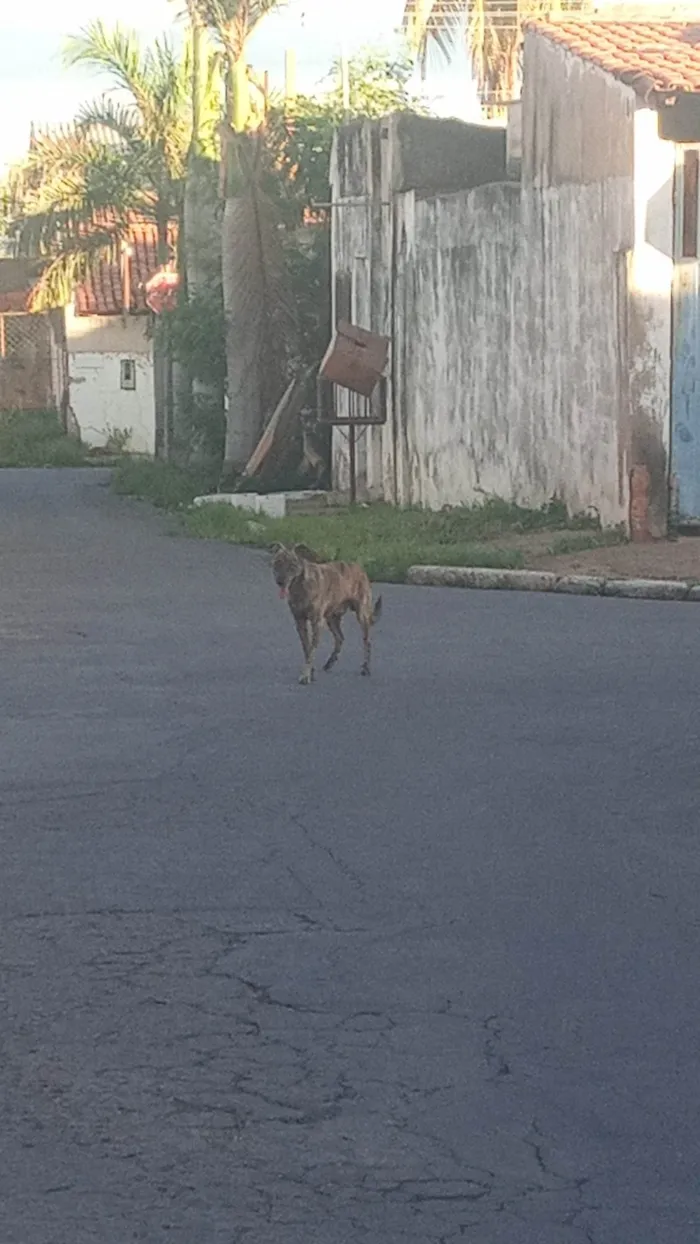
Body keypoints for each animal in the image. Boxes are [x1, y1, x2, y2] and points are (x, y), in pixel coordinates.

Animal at [272, 539, 382, 686]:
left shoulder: (317, 623)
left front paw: (305, 676)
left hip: (362, 615)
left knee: (367, 642)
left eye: (292, 565)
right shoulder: (300, 622)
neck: (300, 587)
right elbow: (307, 649)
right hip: (332, 618)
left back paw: (366, 668)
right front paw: (311, 672)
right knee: (340, 638)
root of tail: (360, 569)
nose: (280, 581)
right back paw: (330, 662)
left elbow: (311, 650)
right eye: (277, 562)